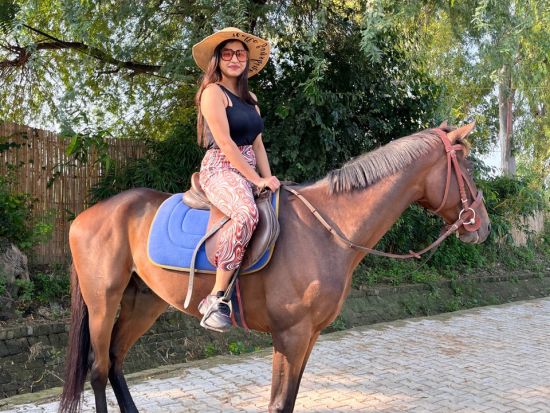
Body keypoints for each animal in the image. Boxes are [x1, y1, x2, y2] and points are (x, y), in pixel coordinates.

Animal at [59, 124, 492, 412]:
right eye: (468, 167)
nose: (483, 227)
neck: (328, 229)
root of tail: (84, 217)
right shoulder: (291, 335)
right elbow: (279, 404)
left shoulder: (308, 336)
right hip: (103, 303)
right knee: (99, 368)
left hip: (144, 302)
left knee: (116, 362)